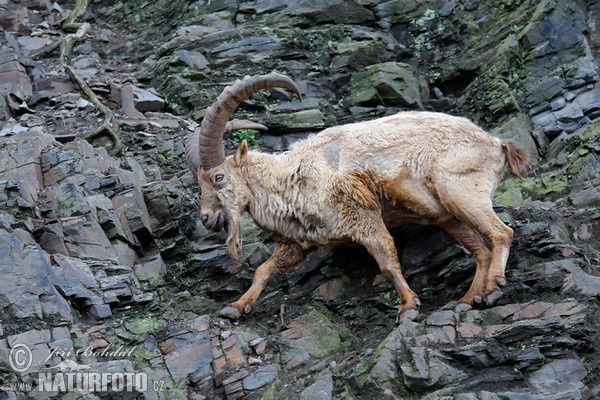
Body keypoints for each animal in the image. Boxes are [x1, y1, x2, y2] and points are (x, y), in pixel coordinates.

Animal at [185, 72, 528, 322]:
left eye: (218, 177)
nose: (206, 218)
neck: (294, 177)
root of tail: (496, 143)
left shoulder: (362, 217)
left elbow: (387, 262)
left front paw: (408, 307)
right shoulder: (301, 242)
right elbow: (263, 270)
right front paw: (235, 307)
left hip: (459, 191)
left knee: (501, 233)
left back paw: (493, 289)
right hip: (447, 215)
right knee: (480, 248)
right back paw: (469, 299)